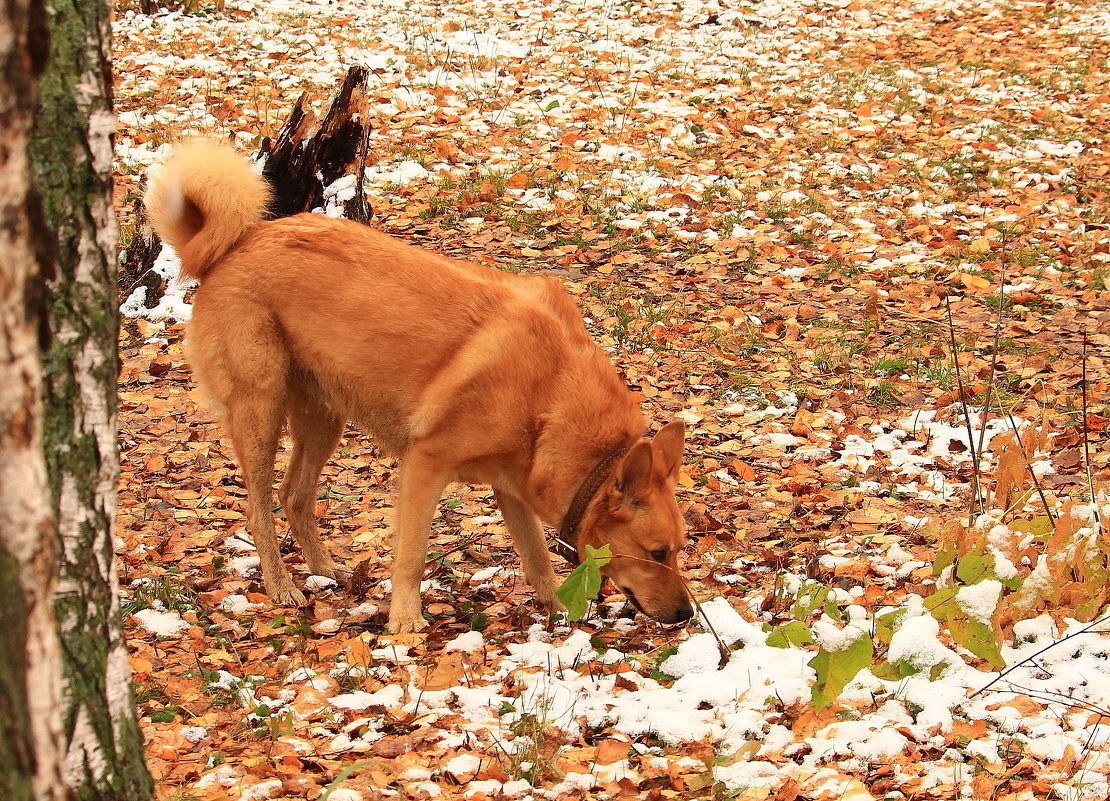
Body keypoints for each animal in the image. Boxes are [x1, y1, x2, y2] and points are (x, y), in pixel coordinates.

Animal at [143, 142, 688, 630]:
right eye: (657, 552)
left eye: (680, 550)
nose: (685, 614)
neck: (549, 392)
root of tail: (237, 243)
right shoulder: (424, 466)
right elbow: (411, 555)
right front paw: (404, 622)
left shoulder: (511, 488)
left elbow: (535, 557)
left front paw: (556, 610)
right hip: (261, 410)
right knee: (258, 509)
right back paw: (282, 586)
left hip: (325, 417)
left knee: (293, 495)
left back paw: (325, 570)